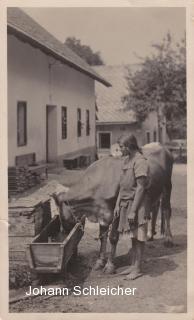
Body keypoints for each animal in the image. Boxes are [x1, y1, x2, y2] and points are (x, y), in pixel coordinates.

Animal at [53, 144, 174, 274]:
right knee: (155, 208)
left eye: (62, 219)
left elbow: (113, 237)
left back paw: (169, 240)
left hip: (167, 185)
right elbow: (102, 237)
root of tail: (159, 145)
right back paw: (150, 235)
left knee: (166, 210)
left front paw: (110, 265)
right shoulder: (102, 213)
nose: (64, 233)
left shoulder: (116, 213)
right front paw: (99, 262)